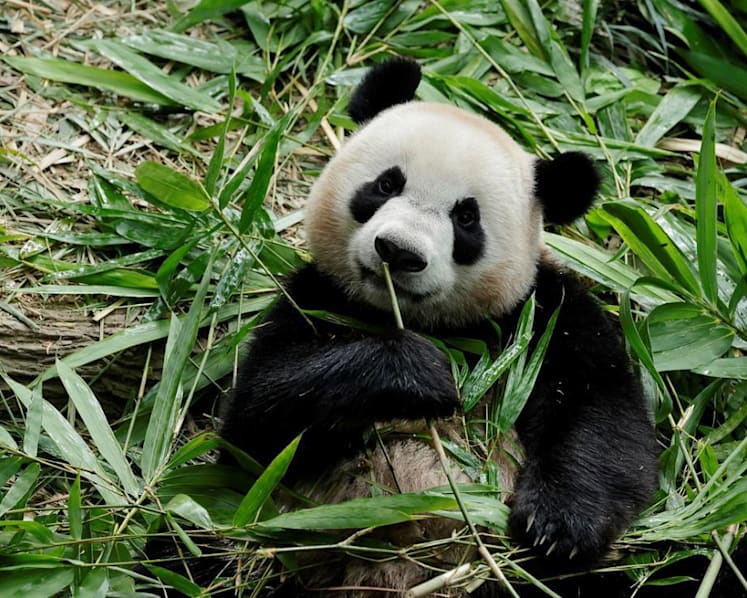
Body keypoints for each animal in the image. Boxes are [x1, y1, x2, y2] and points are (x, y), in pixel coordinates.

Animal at [218, 57, 660, 596]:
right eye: (387, 185)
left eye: (466, 217)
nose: (399, 251)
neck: (430, 322)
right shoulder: (317, 298)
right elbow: (256, 420)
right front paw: (420, 374)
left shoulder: (543, 315)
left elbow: (607, 417)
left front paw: (558, 526)